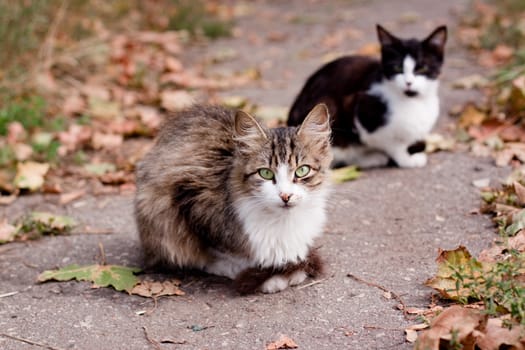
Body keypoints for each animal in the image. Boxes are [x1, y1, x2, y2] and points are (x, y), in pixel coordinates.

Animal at [135, 103, 332, 292]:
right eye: (266, 173)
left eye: (302, 170)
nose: (285, 196)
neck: (283, 221)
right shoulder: (191, 201)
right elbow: (220, 252)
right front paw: (264, 275)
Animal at [286, 24, 446, 168]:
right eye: (397, 68)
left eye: (422, 68)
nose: (408, 82)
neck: (412, 100)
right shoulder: (360, 111)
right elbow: (393, 144)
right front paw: (407, 159)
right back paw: (373, 158)